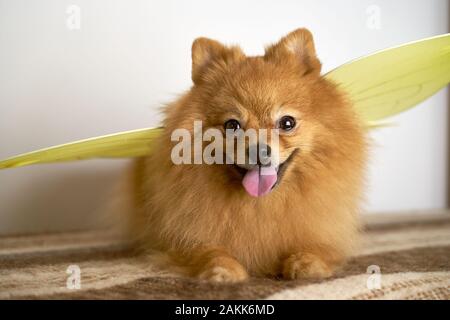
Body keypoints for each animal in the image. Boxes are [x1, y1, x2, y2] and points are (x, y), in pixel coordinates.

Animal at [126, 28, 366, 282]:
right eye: (232, 125)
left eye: (287, 123)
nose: (259, 150)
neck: (261, 204)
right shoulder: (180, 239)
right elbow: (206, 250)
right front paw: (222, 269)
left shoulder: (323, 233)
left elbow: (320, 247)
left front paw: (307, 262)